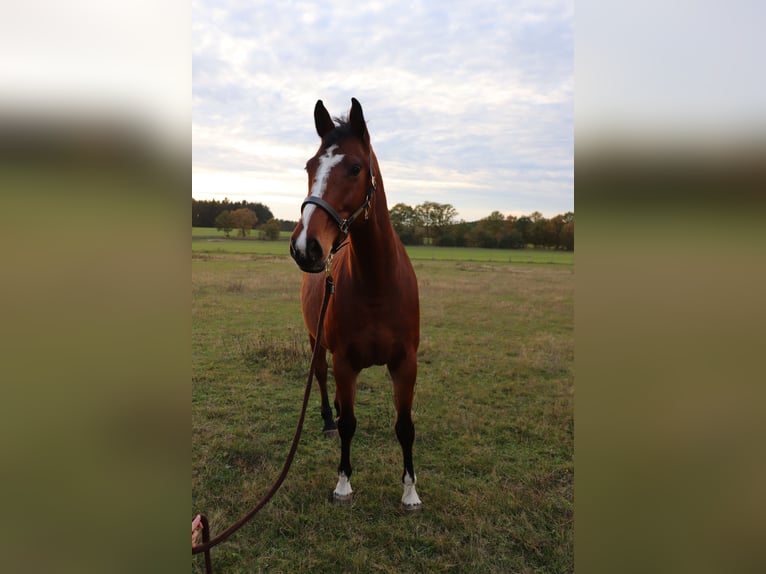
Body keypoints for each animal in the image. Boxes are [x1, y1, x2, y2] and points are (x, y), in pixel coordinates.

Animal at [289, 98, 422, 510]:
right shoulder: (345, 362)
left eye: (354, 168)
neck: (377, 284)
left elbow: (405, 426)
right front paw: (344, 484)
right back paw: (326, 420)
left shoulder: (405, 363)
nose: (306, 247)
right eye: (309, 166)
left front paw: (410, 491)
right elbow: (349, 423)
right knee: (321, 376)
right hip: (316, 341)